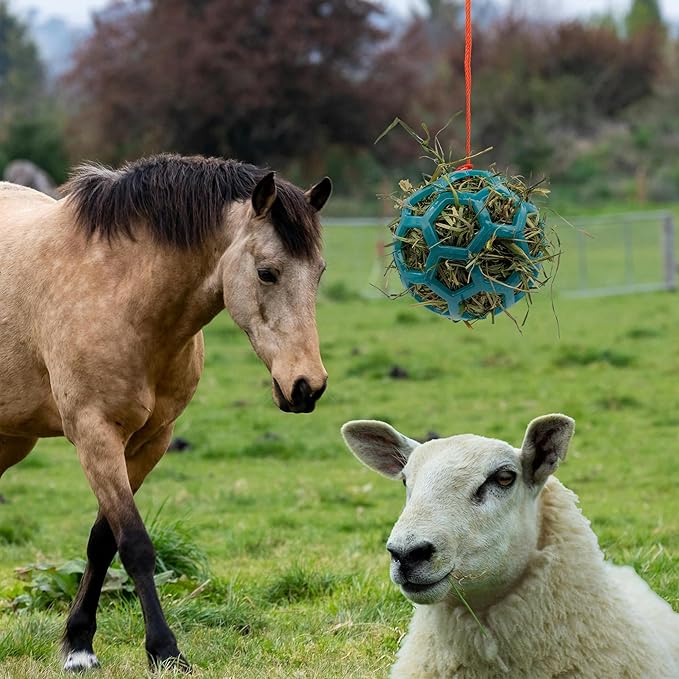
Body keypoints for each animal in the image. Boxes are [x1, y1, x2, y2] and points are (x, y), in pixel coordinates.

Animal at [0, 154, 332, 672]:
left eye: (318, 272)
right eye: (267, 273)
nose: (306, 386)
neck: (121, 292)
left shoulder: (150, 441)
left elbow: (103, 541)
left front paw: (79, 645)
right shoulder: (95, 436)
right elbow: (135, 543)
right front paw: (164, 651)